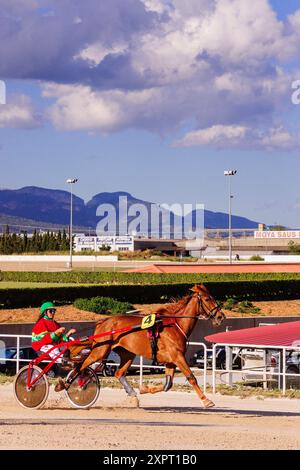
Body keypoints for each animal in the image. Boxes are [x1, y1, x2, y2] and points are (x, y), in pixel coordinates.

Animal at [69, 284, 224, 410]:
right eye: (207, 299)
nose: (220, 316)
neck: (175, 326)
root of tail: (103, 321)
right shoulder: (178, 356)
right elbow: (191, 377)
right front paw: (206, 400)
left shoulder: (171, 360)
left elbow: (168, 385)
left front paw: (144, 389)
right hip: (100, 350)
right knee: (81, 366)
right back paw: (71, 384)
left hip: (127, 353)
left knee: (119, 373)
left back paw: (133, 396)